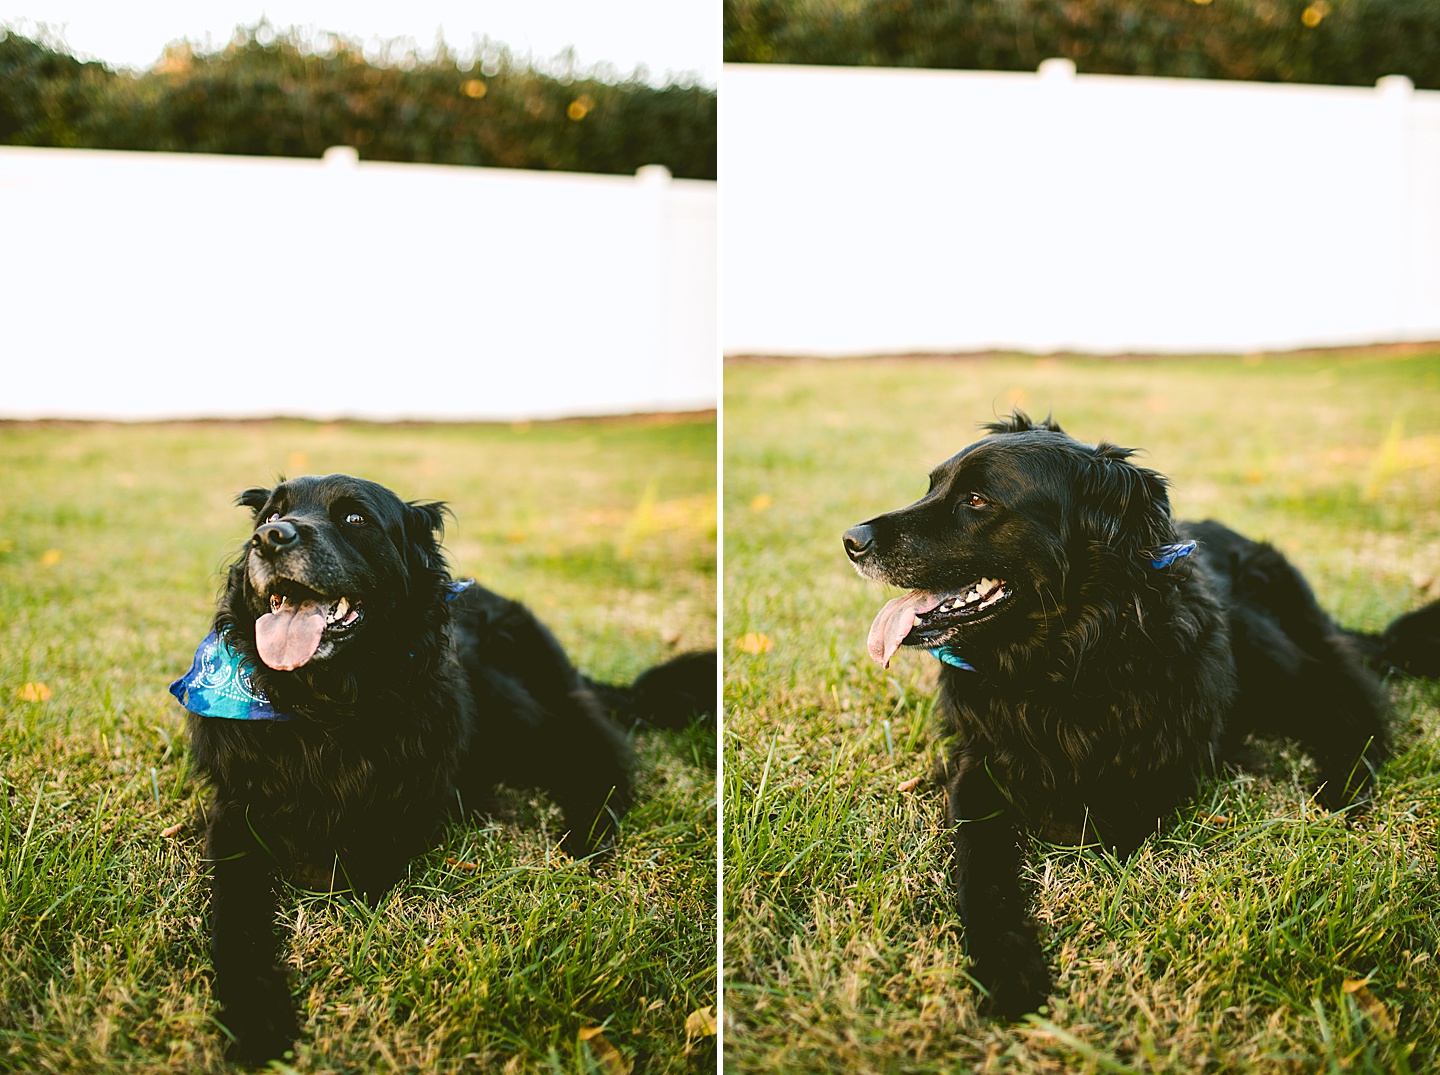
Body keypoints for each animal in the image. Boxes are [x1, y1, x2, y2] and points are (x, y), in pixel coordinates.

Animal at [174, 474, 714, 1064]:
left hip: (517, 711)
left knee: (598, 751)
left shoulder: (412, 799)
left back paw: (587, 833)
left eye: (355, 518)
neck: (325, 706)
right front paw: (256, 1015)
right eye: (271, 514)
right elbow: (237, 919)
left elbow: (355, 857)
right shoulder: (235, 815)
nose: (271, 538)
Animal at [840, 411, 1440, 1018]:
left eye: (978, 500)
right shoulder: (977, 765)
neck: (1064, 660)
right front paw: (1007, 964)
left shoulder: (1164, 758)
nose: (851, 540)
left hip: (1265, 648)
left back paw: (1343, 783)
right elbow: (980, 868)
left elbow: (1106, 816)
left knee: (1349, 696)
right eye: (932, 486)